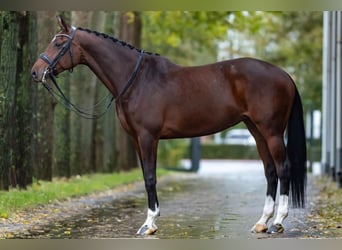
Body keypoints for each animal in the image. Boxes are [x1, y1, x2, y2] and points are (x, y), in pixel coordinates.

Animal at [30, 16, 306, 236]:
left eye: (58, 44)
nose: (35, 72)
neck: (137, 79)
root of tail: (285, 75)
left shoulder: (148, 137)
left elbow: (151, 178)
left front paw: (149, 224)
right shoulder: (135, 139)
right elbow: (145, 176)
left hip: (271, 131)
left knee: (283, 168)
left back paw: (278, 222)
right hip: (256, 130)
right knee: (270, 171)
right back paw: (261, 222)